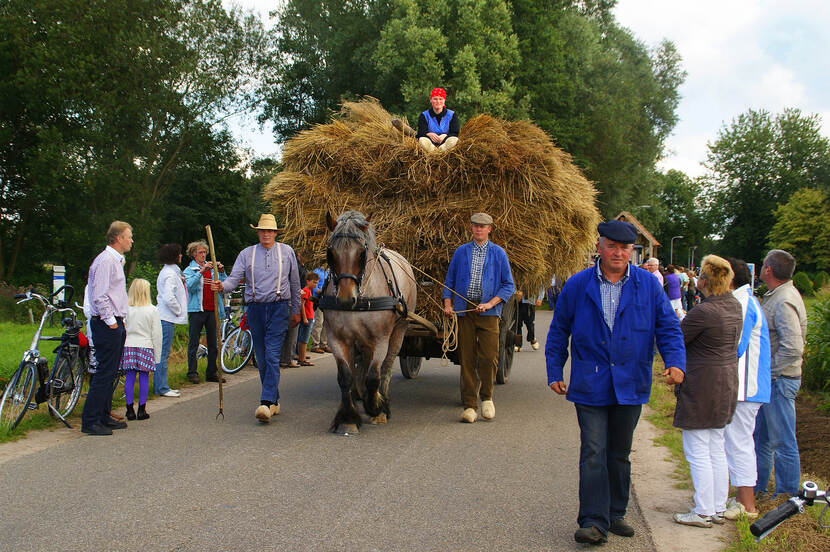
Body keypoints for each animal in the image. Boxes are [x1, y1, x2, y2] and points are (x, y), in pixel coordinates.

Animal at [322, 209, 420, 434]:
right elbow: (345, 376)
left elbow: (374, 375)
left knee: (387, 365)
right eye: (331, 253)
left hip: (399, 330)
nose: (346, 299)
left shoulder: (380, 338)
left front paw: (377, 407)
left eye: (361, 253)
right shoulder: (336, 338)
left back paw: (380, 399)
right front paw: (347, 418)